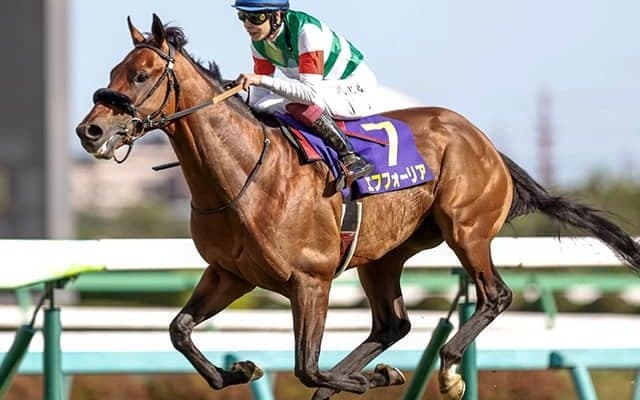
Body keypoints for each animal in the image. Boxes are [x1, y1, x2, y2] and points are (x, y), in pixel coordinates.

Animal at [75, 14, 640, 400]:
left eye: (143, 74)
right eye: (114, 70)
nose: (91, 130)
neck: (245, 176)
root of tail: (485, 143)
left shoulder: (311, 280)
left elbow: (306, 365)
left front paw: (367, 378)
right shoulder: (229, 273)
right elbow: (179, 331)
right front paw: (240, 370)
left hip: (467, 229)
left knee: (494, 295)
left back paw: (446, 369)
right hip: (383, 256)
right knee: (392, 324)